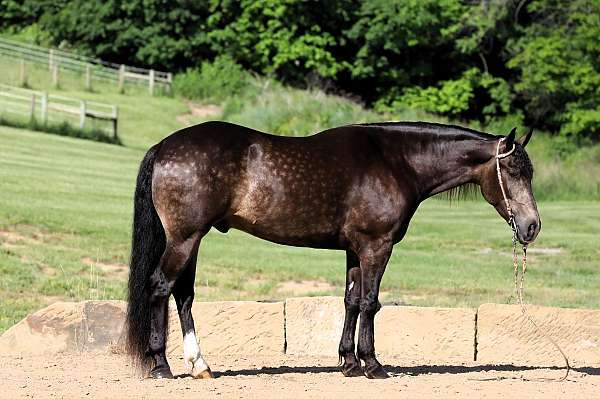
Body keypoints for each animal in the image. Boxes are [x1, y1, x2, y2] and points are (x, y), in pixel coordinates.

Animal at [125, 121, 540, 382]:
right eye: (514, 171)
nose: (532, 226)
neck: (396, 162)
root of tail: (164, 147)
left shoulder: (355, 251)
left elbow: (351, 301)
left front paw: (349, 362)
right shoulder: (376, 246)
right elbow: (371, 303)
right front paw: (372, 364)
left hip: (191, 238)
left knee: (183, 295)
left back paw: (200, 365)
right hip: (185, 237)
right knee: (161, 287)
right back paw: (161, 365)